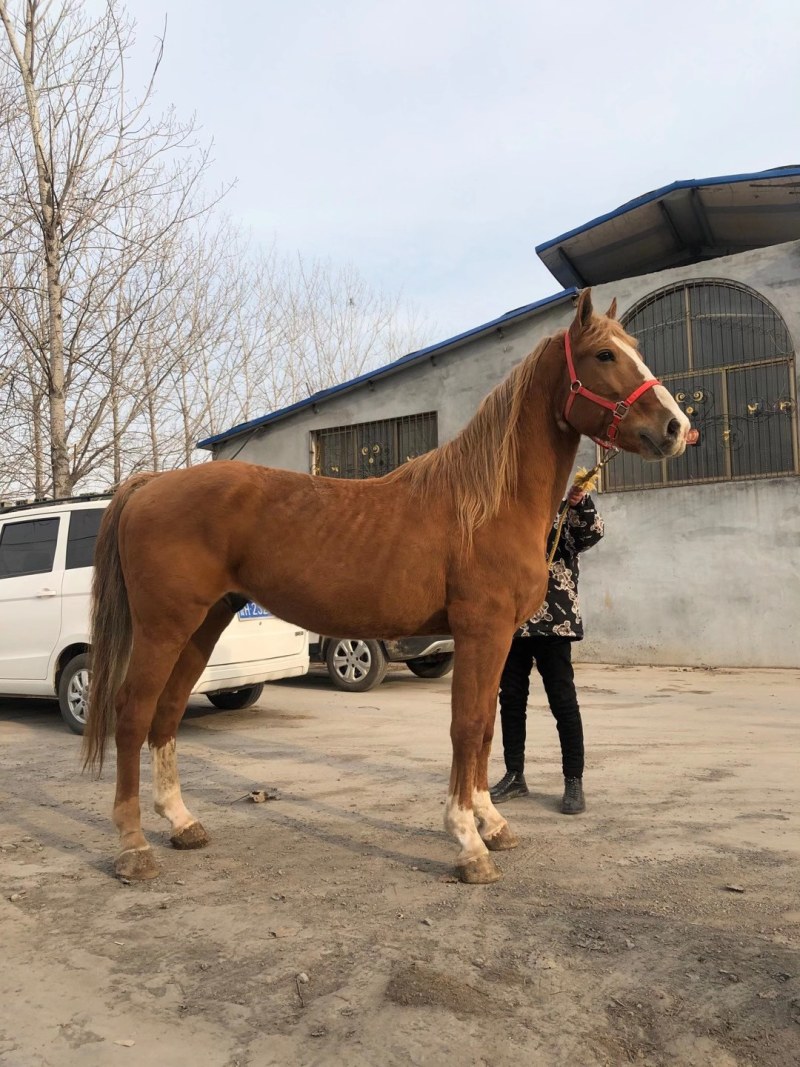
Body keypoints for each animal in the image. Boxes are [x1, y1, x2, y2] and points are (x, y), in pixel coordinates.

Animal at [83, 288, 690, 885]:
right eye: (604, 355)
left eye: (635, 348)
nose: (677, 427)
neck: (487, 503)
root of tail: (149, 484)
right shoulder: (483, 631)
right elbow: (468, 726)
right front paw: (468, 842)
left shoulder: (496, 639)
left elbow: (486, 729)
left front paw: (492, 823)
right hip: (164, 627)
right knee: (132, 713)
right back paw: (134, 847)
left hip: (204, 624)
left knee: (167, 711)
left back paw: (182, 823)